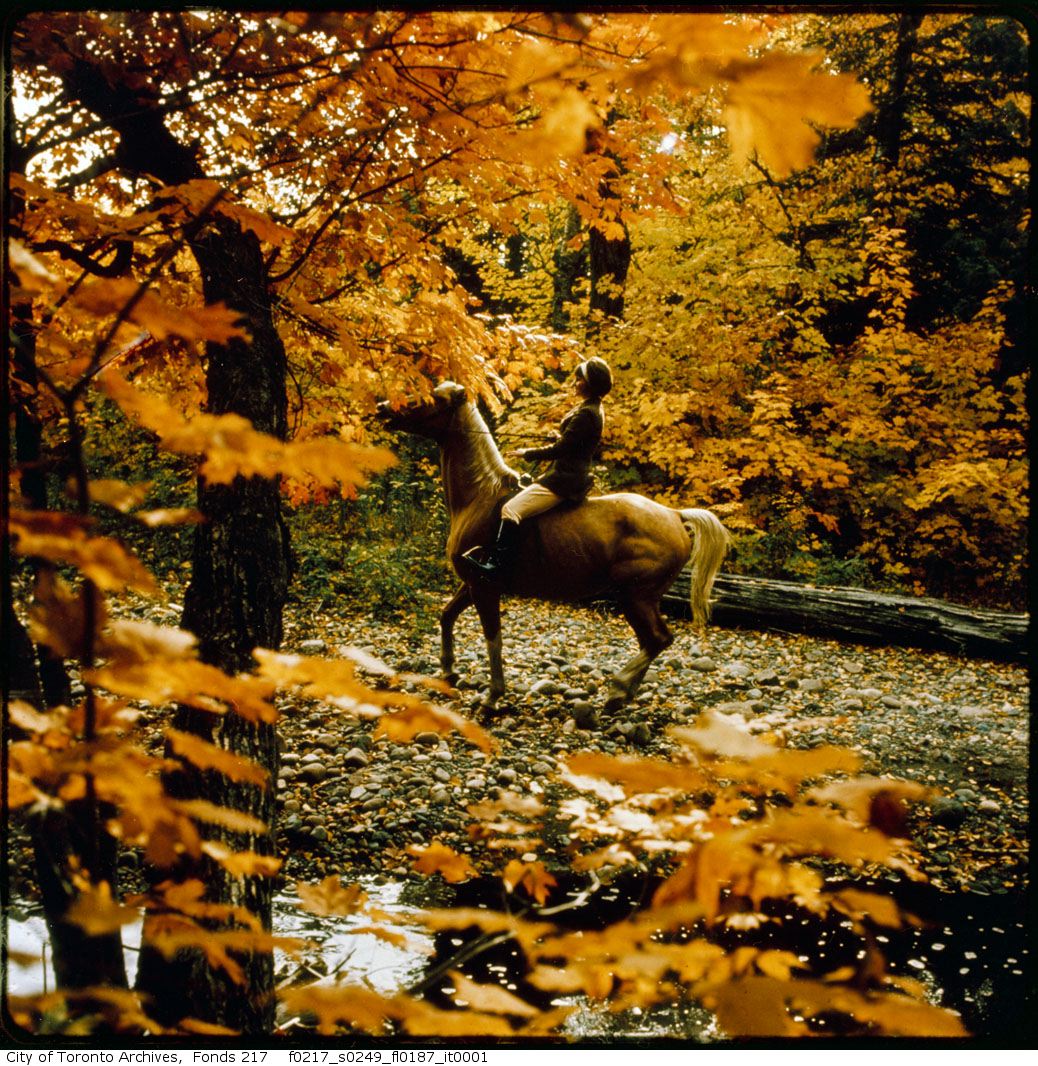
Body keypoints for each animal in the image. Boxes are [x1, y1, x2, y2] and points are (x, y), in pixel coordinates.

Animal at [379, 379, 733, 712]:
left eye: (430, 398)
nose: (383, 407)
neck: (480, 495)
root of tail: (675, 515)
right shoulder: (471, 584)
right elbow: (447, 616)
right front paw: (449, 671)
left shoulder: (484, 587)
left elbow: (494, 639)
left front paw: (492, 697)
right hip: (641, 598)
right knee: (654, 641)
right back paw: (623, 694)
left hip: (636, 597)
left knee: (658, 639)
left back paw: (618, 688)